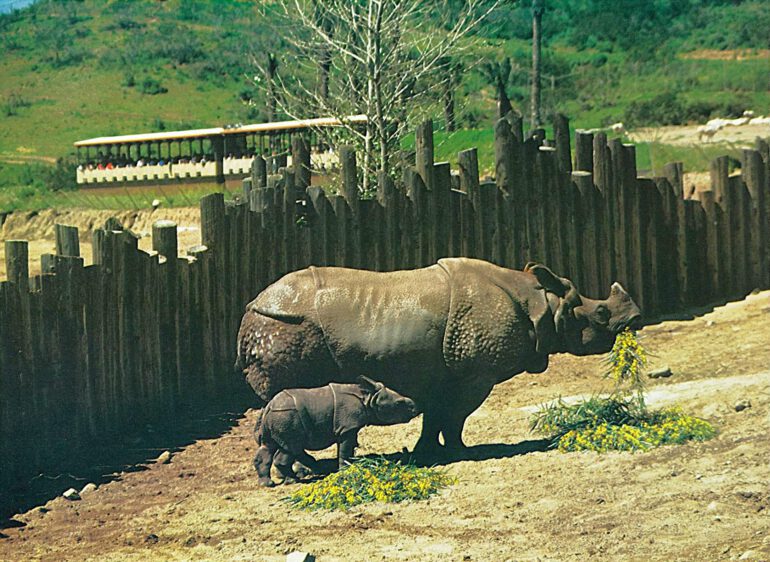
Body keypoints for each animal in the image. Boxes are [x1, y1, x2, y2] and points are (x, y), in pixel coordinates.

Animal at [236, 258, 641, 457]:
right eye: (600, 314)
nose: (636, 319)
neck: (541, 301)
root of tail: (251, 309)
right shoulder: (477, 371)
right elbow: (456, 415)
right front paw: (463, 451)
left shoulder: (436, 371)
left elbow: (434, 414)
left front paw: (426, 452)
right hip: (284, 328)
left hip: (278, 326)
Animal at [254, 376, 418, 486]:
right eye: (399, 404)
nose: (415, 407)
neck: (368, 398)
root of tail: (268, 406)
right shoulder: (347, 427)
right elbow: (346, 449)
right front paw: (347, 471)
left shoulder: (348, 427)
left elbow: (350, 448)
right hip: (286, 415)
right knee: (291, 447)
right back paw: (293, 481)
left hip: (278, 416)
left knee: (271, 446)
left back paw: (268, 484)